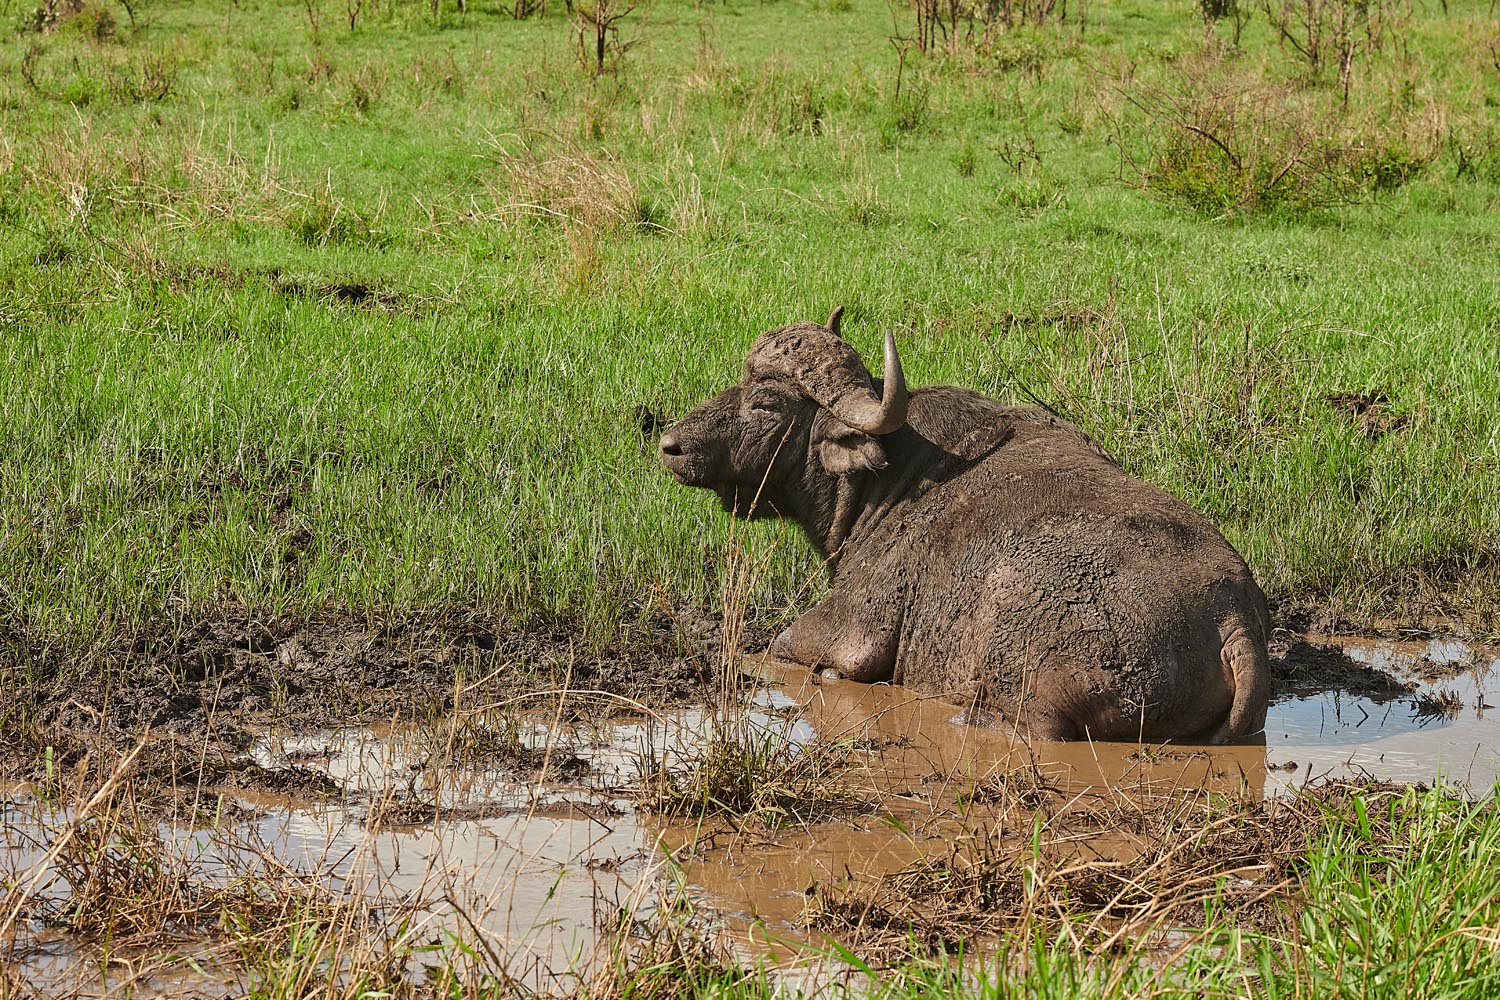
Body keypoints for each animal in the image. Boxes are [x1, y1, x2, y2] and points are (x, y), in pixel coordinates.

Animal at [663, 310, 1272, 743]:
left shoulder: (851, 631)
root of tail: (1234, 617)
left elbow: (778, 646)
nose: (671, 444)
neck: (890, 478)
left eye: (767, 403)